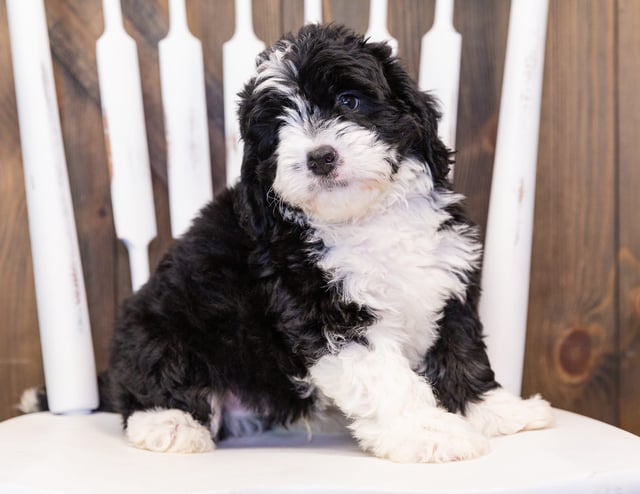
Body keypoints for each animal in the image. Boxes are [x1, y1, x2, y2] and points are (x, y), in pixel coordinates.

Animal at [106, 24, 556, 464]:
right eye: (278, 128)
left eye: (349, 100)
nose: (320, 157)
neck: (365, 217)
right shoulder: (327, 313)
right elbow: (387, 379)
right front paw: (428, 433)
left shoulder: (447, 285)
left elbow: (462, 353)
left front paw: (497, 411)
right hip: (165, 327)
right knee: (152, 381)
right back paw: (170, 425)